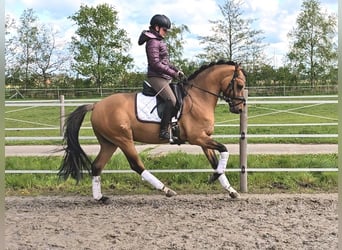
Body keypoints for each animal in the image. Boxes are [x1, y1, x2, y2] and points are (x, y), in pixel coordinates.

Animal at [58, 60, 246, 203]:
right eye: (239, 85)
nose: (240, 108)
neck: (199, 98)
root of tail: (96, 105)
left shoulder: (204, 139)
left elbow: (215, 161)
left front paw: (231, 190)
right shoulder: (197, 138)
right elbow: (224, 149)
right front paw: (215, 177)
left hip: (109, 142)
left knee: (97, 166)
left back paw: (100, 197)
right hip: (123, 139)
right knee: (136, 165)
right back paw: (166, 189)